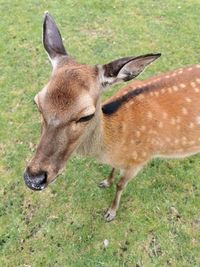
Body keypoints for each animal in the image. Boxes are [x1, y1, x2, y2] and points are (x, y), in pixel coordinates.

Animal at [23, 12, 200, 222]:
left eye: (86, 116)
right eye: (37, 103)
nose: (33, 178)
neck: (114, 143)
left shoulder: (139, 160)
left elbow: (121, 185)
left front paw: (111, 212)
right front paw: (105, 181)